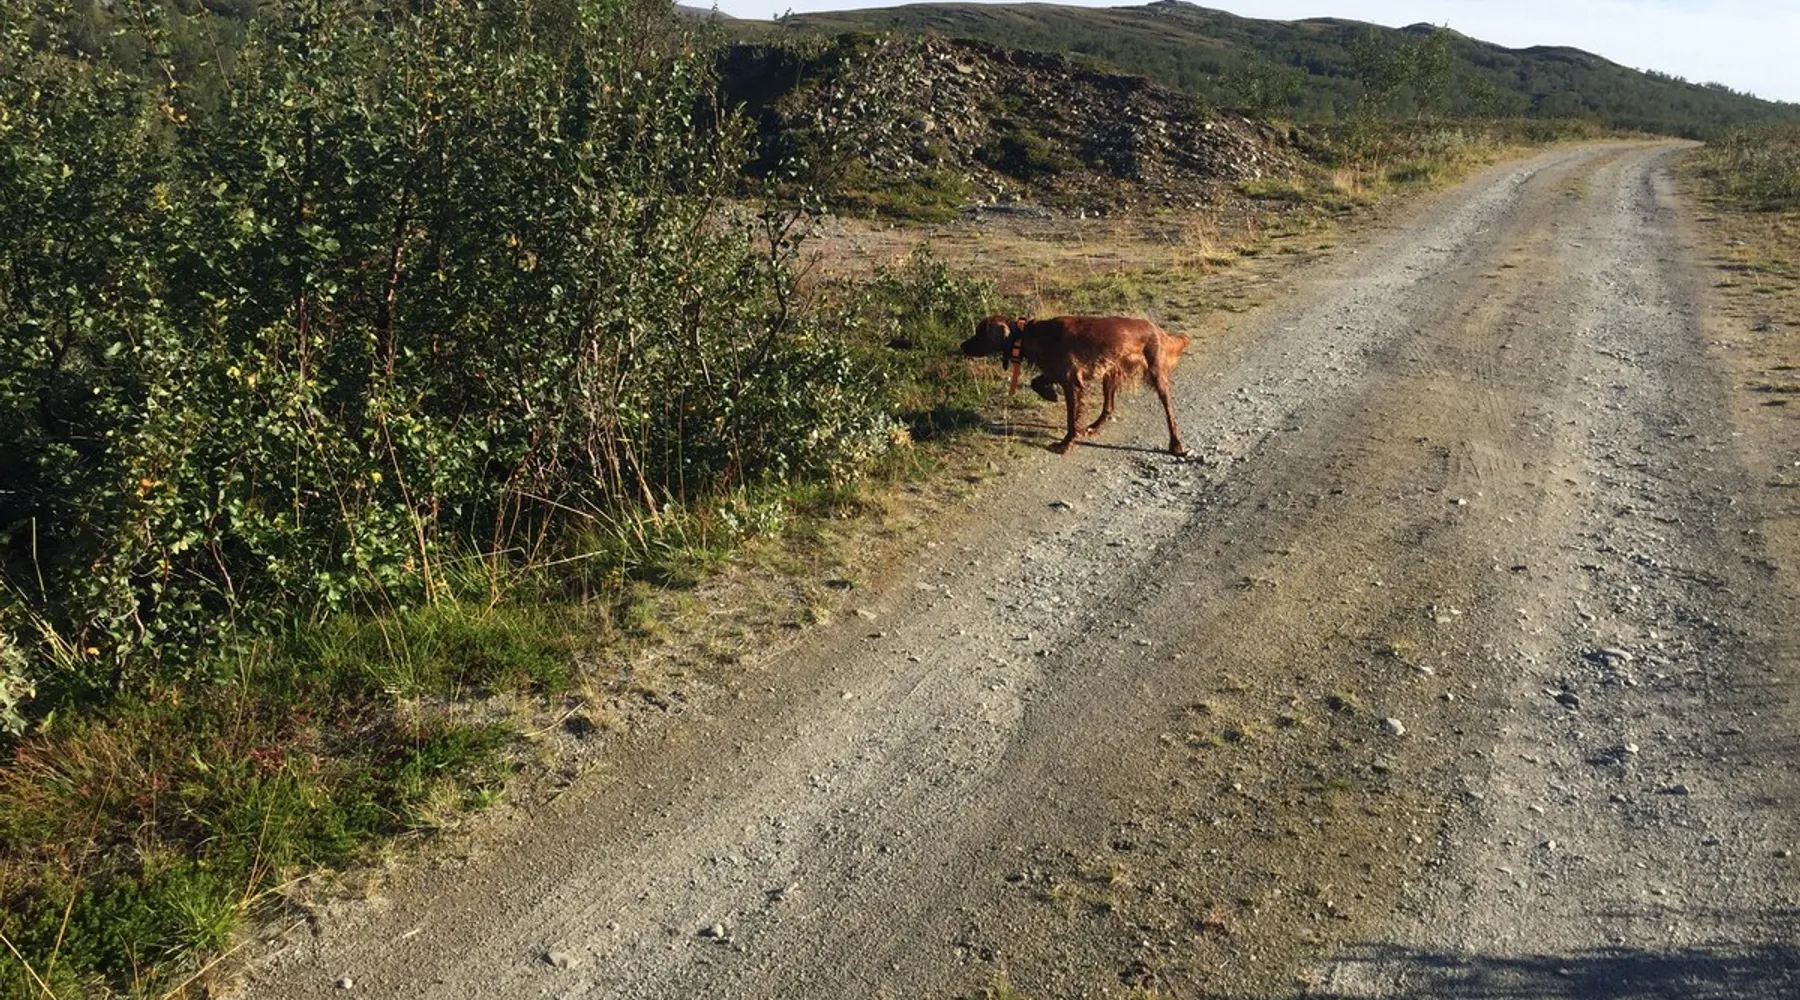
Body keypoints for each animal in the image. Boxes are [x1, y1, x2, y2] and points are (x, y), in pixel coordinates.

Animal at [961, 314, 1191, 456]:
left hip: (1156, 375)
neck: (1032, 335)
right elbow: (1036, 381)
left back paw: (1176, 444)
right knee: (1108, 406)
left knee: (1169, 411)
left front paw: (1065, 443)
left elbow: (1072, 419)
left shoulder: (1072, 382)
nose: (962, 345)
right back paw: (1094, 426)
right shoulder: (1057, 373)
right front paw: (1050, 394)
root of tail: (1157, 329)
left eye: (980, 333)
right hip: (1109, 373)